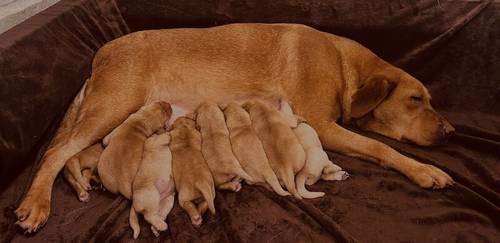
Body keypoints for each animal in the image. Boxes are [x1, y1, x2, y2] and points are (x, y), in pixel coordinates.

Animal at [15, 22, 456, 232]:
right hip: (112, 106)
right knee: (55, 152)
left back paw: (79, 185)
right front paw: (425, 171)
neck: (344, 64)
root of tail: (100, 54)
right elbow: (382, 148)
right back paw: (37, 205)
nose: (451, 132)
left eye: (428, 99)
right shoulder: (322, 125)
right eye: (416, 100)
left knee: (69, 156)